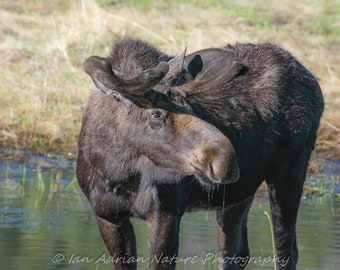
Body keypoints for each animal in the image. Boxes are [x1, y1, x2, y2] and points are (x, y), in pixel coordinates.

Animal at [77, 37, 324, 268]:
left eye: (191, 106)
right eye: (156, 114)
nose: (226, 160)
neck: (116, 172)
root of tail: (313, 81)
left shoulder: (166, 214)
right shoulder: (107, 216)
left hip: (290, 170)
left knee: (285, 251)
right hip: (239, 194)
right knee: (235, 254)